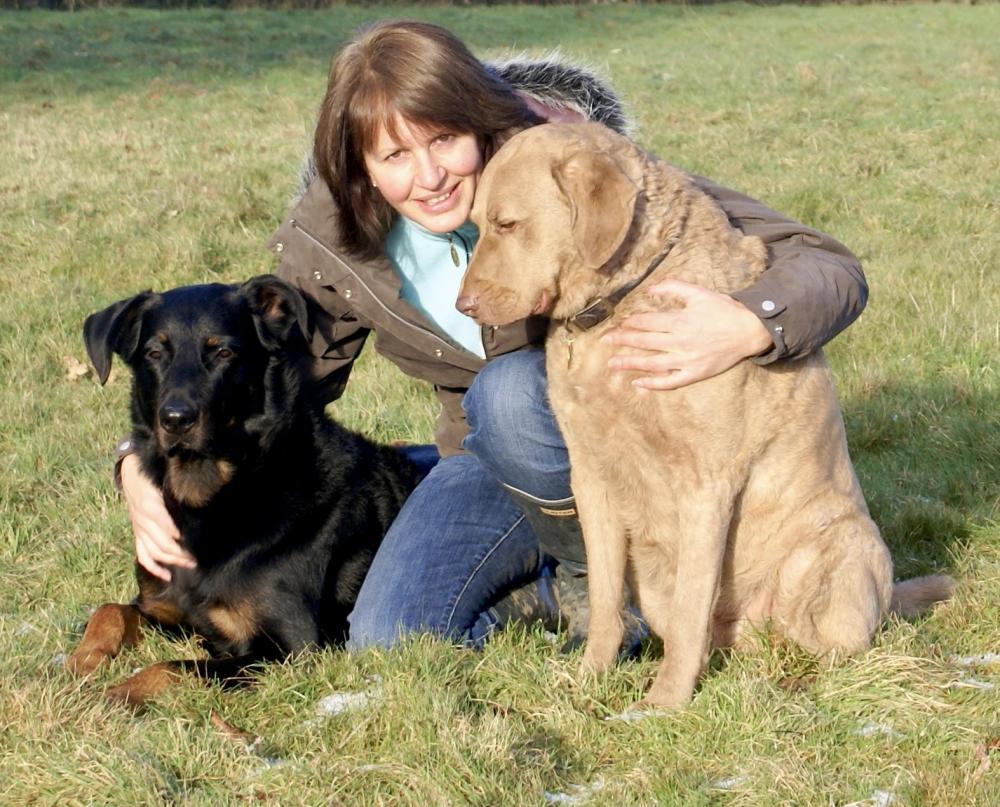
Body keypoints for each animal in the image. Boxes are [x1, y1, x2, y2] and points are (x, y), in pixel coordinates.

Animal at [65, 274, 418, 704]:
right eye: (154, 352)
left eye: (223, 352)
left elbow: (173, 667)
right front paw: (81, 660)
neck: (220, 491)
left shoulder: (288, 648)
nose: (176, 419)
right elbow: (110, 610)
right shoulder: (167, 611)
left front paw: (115, 694)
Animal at [458, 123, 948, 712]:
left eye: (507, 223)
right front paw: (591, 677)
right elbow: (604, 597)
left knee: (831, 642)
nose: (463, 305)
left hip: (837, 554)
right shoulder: (591, 475)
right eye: (477, 222)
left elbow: (692, 606)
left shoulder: (705, 483)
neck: (622, 300)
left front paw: (663, 703)